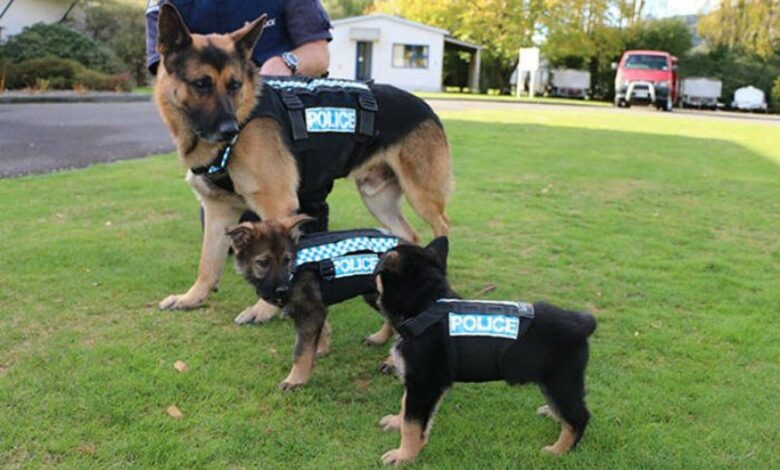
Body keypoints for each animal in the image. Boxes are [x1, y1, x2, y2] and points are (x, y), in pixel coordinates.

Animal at [153, 4, 452, 326]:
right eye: (201, 84)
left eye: (234, 85)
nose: (230, 130)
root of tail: (427, 106)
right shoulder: (218, 212)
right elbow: (208, 263)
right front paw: (192, 298)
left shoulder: (277, 206)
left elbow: (276, 260)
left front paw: (264, 308)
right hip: (378, 199)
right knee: (409, 234)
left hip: (421, 195)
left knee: (442, 225)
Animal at [227, 214, 403, 390]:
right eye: (263, 262)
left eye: (287, 260)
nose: (283, 289)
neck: (296, 268)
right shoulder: (316, 309)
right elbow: (321, 331)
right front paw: (321, 349)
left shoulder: (310, 311)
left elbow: (301, 351)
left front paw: (296, 379)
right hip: (373, 295)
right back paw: (379, 338)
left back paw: (392, 362)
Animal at [373, 237, 596, 466]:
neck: (425, 306)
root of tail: (582, 324)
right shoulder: (417, 382)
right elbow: (405, 406)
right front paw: (396, 423)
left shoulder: (425, 384)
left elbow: (413, 424)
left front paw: (403, 455)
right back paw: (552, 414)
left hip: (561, 380)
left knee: (579, 417)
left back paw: (559, 450)